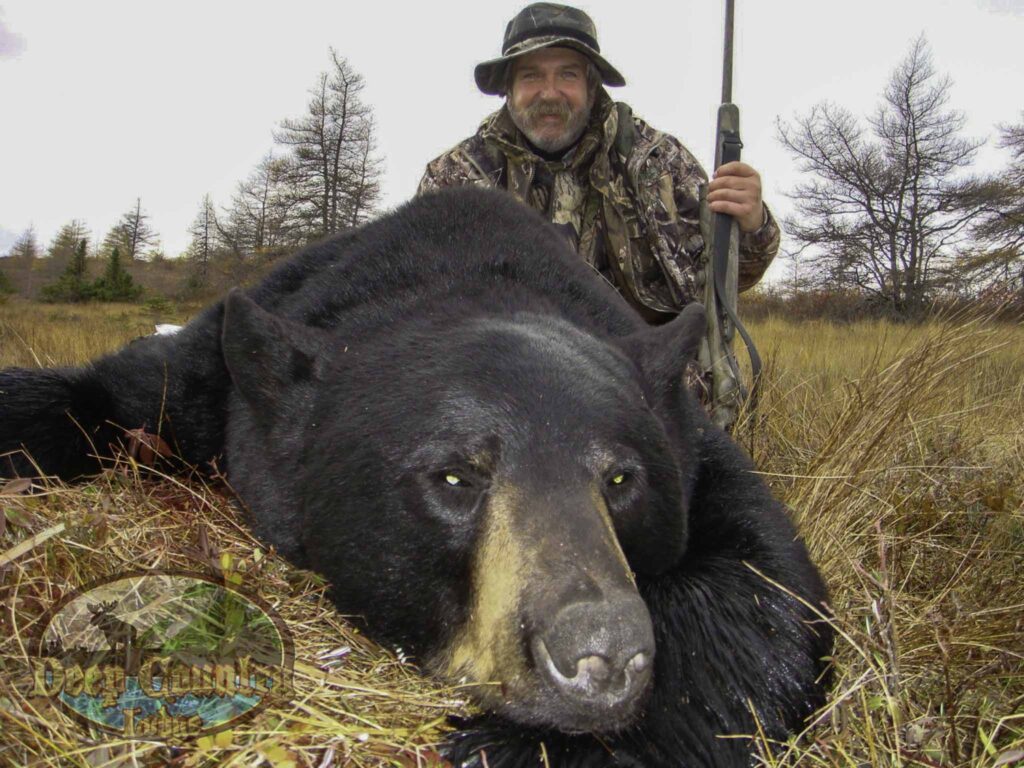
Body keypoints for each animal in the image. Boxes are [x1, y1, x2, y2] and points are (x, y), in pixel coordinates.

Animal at [0, 187, 833, 767]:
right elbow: (105, 393)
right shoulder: (218, 374)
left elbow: (771, 587)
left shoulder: (693, 443)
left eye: (623, 481)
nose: (601, 654)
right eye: (455, 478)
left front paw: (514, 744)